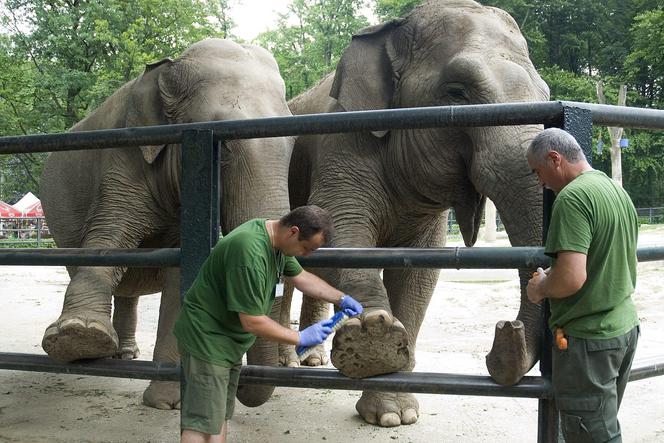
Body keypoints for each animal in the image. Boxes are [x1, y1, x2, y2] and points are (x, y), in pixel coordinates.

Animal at [39, 40, 294, 412]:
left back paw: (126, 356)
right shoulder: (123, 157)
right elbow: (108, 237)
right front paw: (78, 336)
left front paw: (165, 404)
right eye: (224, 150)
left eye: (294, 147)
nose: (238, 384)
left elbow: (178, 277)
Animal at [286, 0, 548, 428]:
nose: (506, 328)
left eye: (545, 94)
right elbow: (339, 229)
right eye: (457, 92)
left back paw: (310, 359)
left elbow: (418, 270)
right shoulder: (343, 140)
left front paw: (395, 414)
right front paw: (372, 337)